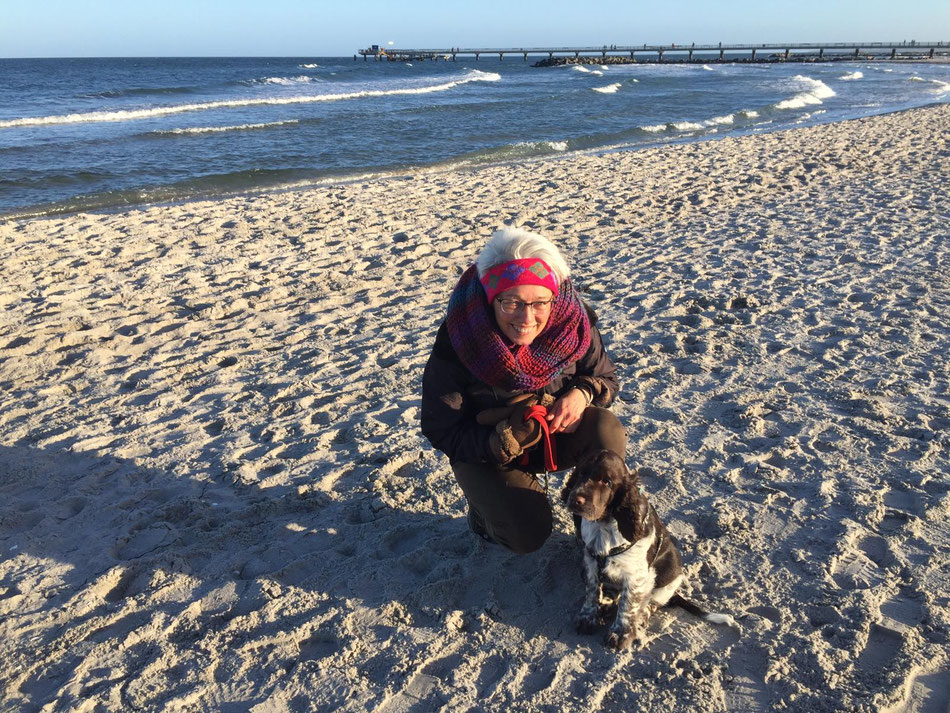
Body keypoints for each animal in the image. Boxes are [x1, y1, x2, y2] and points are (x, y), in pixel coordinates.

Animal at [560, 450, 740, 652]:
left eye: (607, 482)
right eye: (581, 474)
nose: (576, 500)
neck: (603, 525)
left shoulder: (636, 576)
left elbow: (628, 605)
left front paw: (620, 634)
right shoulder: (590, 561)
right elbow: (592, 591)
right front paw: (588, 617)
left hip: (669, 581)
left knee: (650, 604)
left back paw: (638, 619)